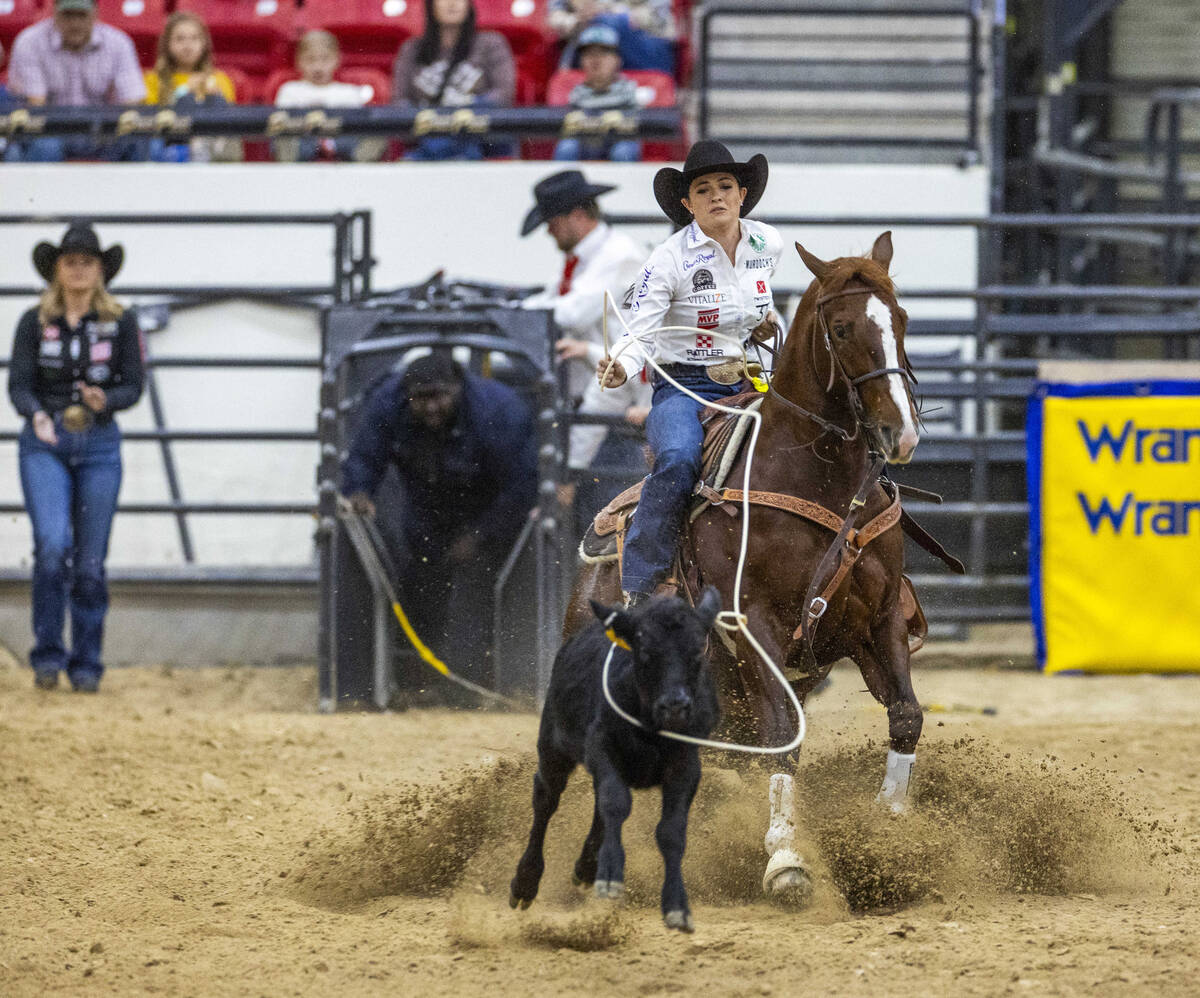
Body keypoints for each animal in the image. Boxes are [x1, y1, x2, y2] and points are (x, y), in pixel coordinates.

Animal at [508, 587, 715, 930]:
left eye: (698, 652)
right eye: (645, 652)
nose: (676, 706)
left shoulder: (686, 766)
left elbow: (671, 831)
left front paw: (677, 906)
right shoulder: (600, 748)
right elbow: (616, 803)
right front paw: (610, 877)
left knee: (598, 809)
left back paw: (585, 868)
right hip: (553, 748)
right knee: (546, 801)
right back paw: (525, 883)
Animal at [566, 230, 921, 902]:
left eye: (902, 319)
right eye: (840, 328)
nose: (900, 432)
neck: (817, 478)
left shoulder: (879, 619)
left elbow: (906, 717)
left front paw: (890, 835)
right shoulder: (753, 624)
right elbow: (784, 734)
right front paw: (784, 857)